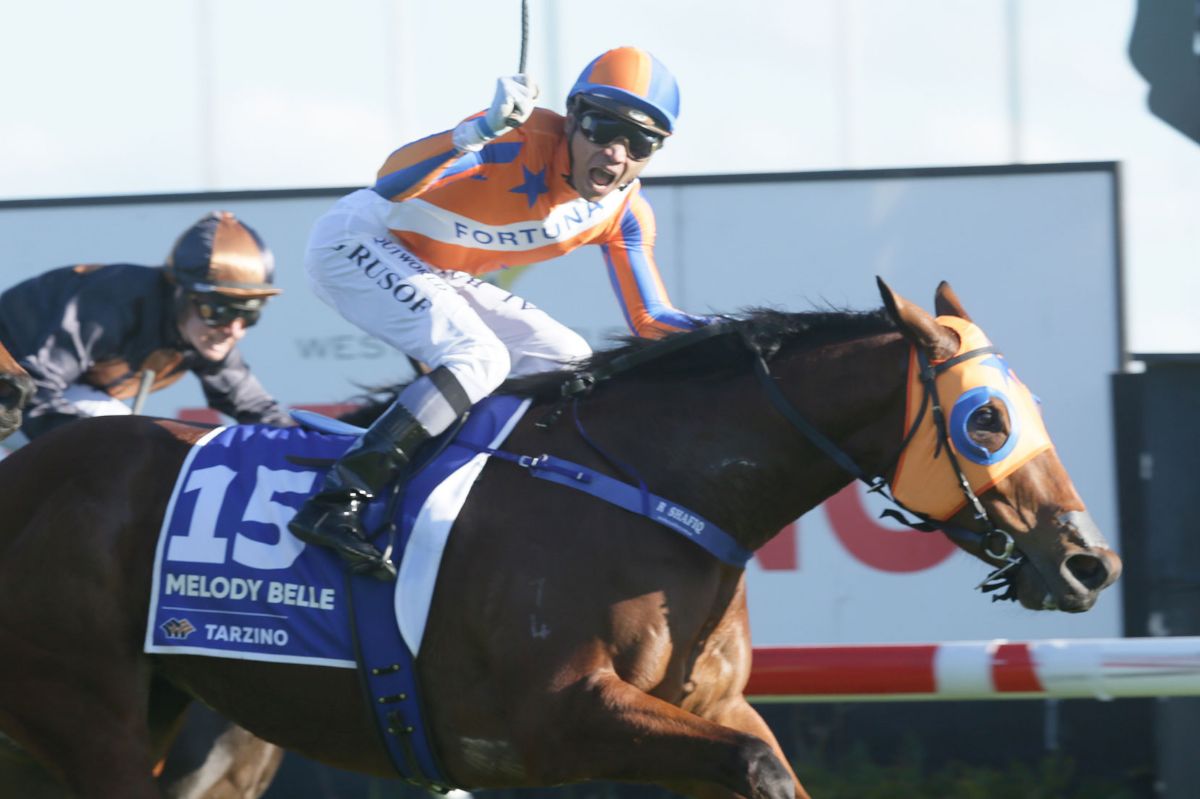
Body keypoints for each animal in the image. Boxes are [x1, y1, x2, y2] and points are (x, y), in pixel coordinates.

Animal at [0, 280, 1121, 799]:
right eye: (987, 420)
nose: (1089, 560)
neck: (652, 489)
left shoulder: (704, 714)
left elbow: (769, 767)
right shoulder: (561, 715)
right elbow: (756, 770)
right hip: (86, 713)